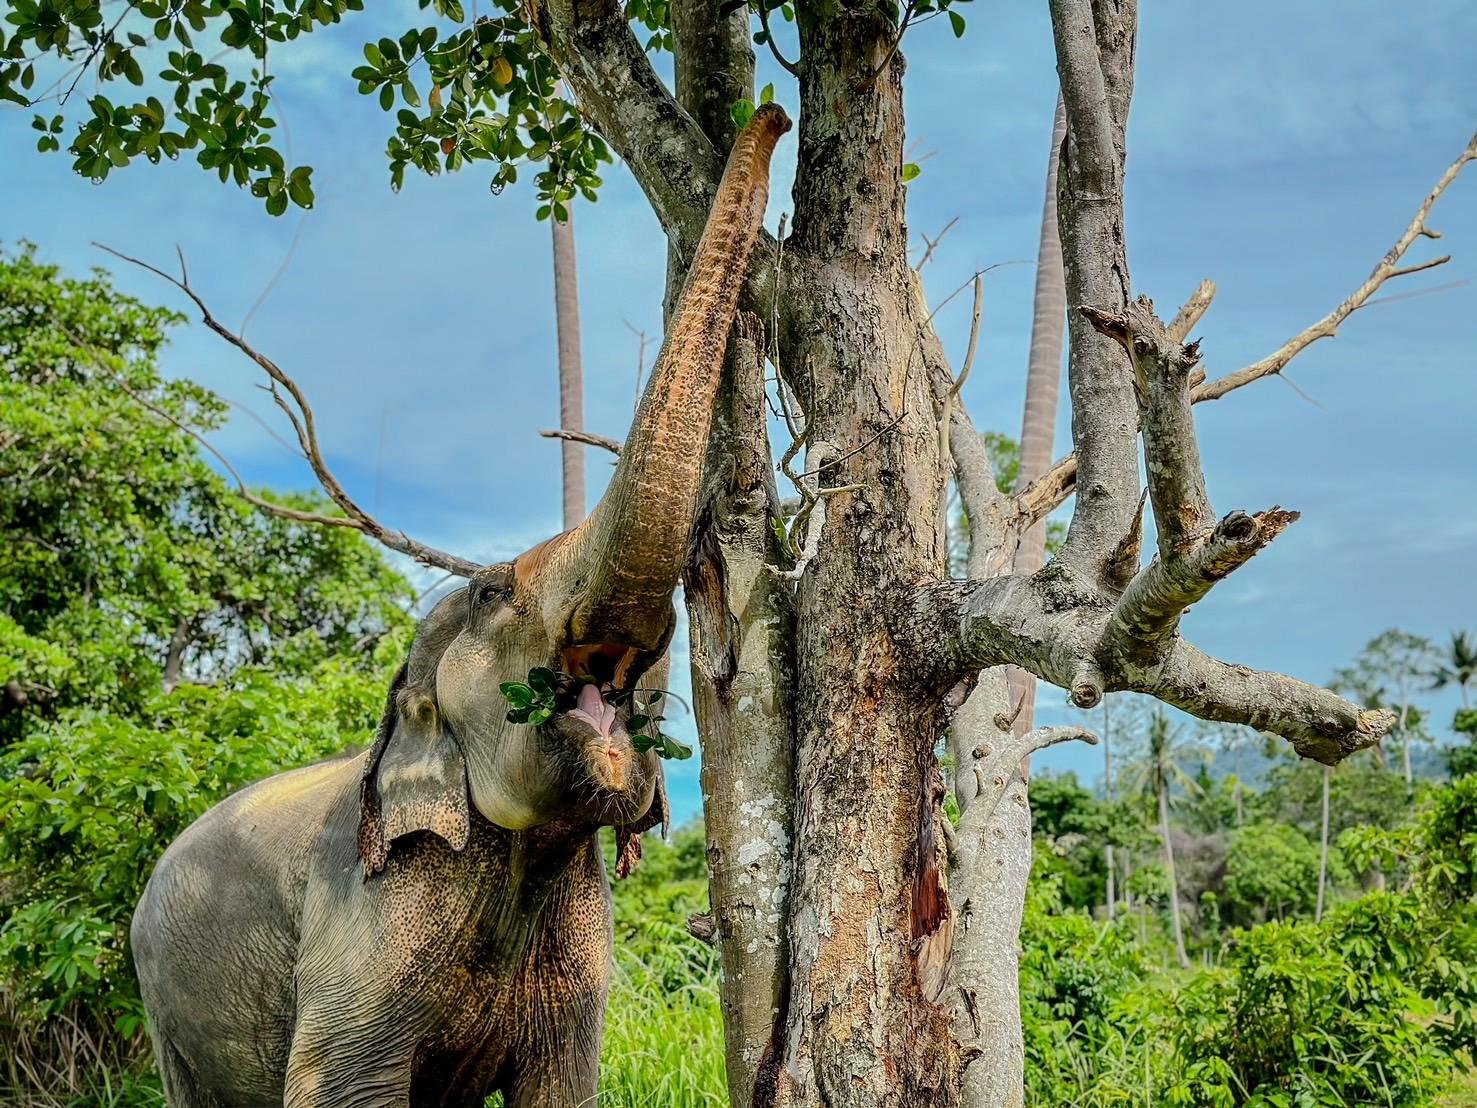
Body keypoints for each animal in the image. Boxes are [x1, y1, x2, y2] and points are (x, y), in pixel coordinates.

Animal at [129, 103, 790, 1108]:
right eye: (488, 592)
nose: (775, 114)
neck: (523, 864)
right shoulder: (367, 914)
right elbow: (340, 1092)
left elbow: (560, 1089)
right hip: (167, 1005)